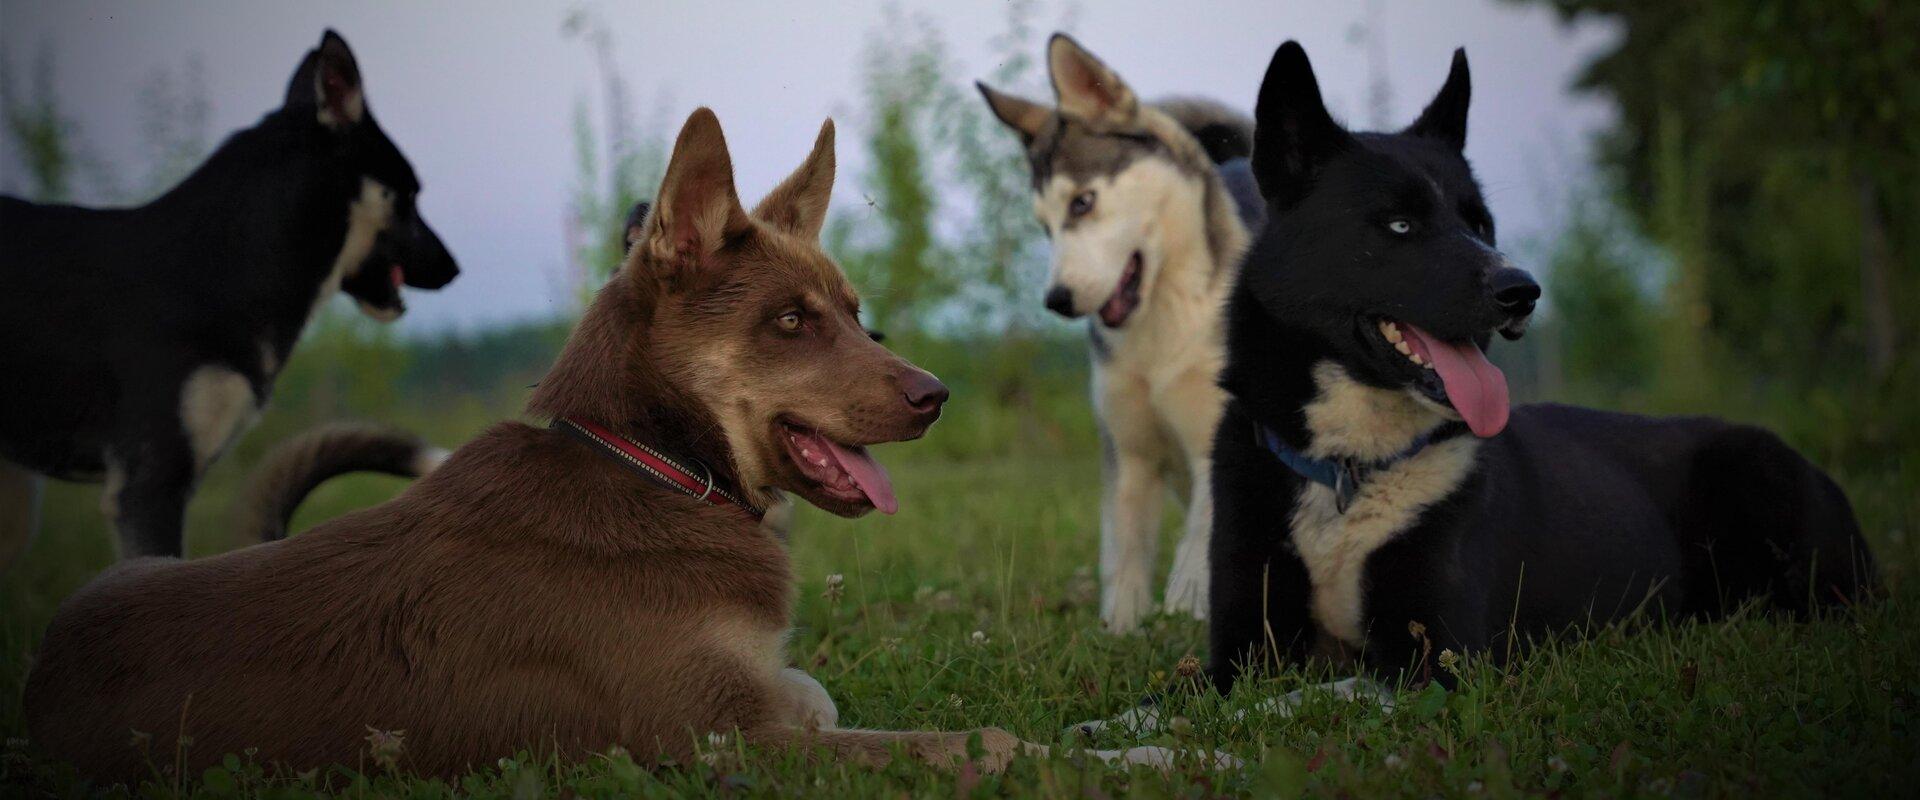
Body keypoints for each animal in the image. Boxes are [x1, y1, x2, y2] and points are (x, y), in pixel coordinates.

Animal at [1205, 43, 1866, 690]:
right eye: (1399, 224)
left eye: (1479, 223)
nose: (1521, 291)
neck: (1351, 469)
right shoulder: (1241, 647)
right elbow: (1209, 695)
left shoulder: (1440, 662)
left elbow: (1308, 695)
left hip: (1761, 484)